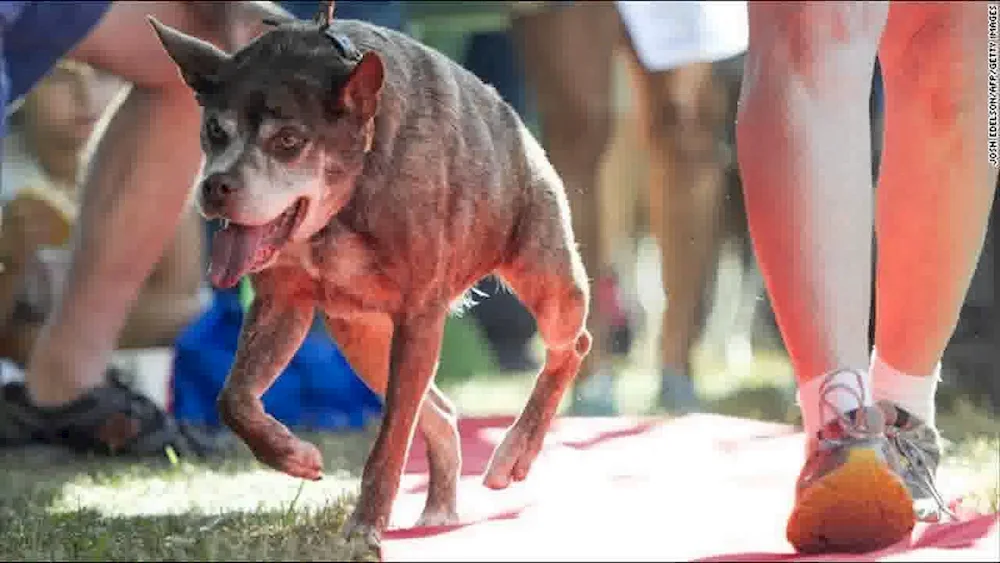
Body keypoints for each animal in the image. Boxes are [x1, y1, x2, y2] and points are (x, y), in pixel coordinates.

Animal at [148, 16, 592, 552]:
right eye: (215, 130)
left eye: (289, 141)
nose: (215, 186)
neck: (346, 196)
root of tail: (517, 125)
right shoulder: (282, 301)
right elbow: (232, 399)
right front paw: (292, 454)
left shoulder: (420, 317)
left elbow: (391, 440)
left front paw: (364, 526)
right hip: (360, 335)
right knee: (440, 410)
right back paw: (440, 506)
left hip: (546, 281)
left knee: (570, 346)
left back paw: (515, 452)